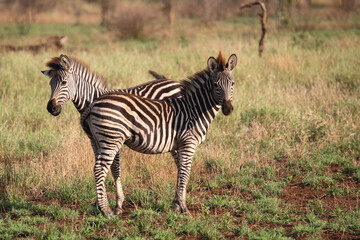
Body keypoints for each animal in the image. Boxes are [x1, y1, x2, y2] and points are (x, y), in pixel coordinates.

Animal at [42, 54, 183, 214]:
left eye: (64, 82)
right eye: (50, 85)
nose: (51, 108)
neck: (92, 100)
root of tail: (174, 82)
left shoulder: (113, 138)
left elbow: (115, 169)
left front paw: (117, 204)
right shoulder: (94, 139)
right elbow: (101, 166)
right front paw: (98, 203)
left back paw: (177, 202)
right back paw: (176, 201)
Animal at [80, 52, 238, 216]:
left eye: (232, 84)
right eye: (216, 85)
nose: (228, 109)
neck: (194, 110)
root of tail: (95, 101)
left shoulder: (179, 145)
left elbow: (181, 171)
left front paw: (177, 204)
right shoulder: (188, 143)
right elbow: (185, 173)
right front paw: (184, 209)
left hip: (98, 140)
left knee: (100, 167)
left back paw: (102, 206)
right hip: (111, 139)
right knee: (99, 169)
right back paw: (106, 211)